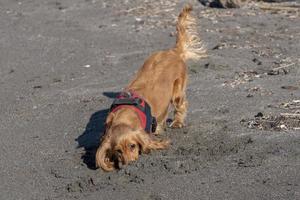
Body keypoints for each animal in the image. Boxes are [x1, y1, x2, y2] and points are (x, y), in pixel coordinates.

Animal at [95, 4, 206, 171]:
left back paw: (177, 122)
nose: (129, 165)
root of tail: (173, 51)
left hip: (177, 92)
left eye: (133, 146)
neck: (125, 115)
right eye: (118, 151)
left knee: (181, 105)